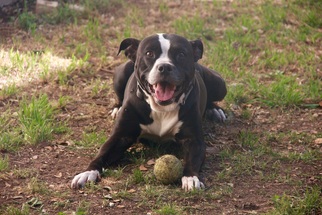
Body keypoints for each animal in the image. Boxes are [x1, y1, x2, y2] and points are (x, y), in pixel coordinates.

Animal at [71, 32, 226, 191]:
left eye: (181, 54)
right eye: (149, 53)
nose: (165, 67)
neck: (161, 108)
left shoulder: (194, 140)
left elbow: (193, 160)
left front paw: (191, 178)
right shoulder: (120, 136)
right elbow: (102, 153)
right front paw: (88, 172)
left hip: (220, 85)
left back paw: (215, 109)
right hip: (120, 75)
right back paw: (117, 108)